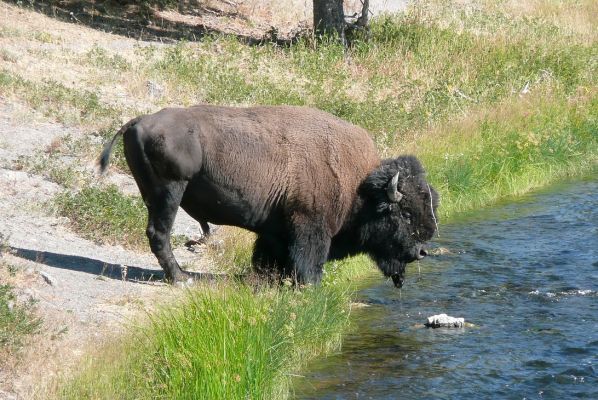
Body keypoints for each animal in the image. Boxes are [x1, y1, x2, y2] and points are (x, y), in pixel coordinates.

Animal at [98, 105, 438, 288]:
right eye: (405, 213)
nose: (422, 251)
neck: (359, 186)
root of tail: (138, 121)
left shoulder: (277, 231)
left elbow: (268, 255)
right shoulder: (310, 226)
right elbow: (309, 260)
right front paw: (309, 285)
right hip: (169, 192)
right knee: (160, 233)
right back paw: (181, 277)